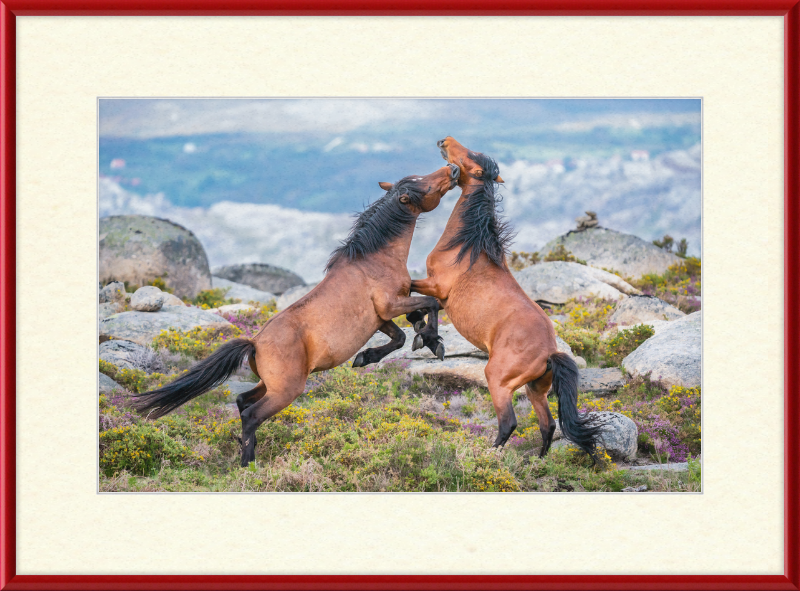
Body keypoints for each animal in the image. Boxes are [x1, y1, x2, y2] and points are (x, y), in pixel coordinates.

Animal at [134, 162, 460, 468]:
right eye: (424, 184)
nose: (453, 169)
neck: (375, 259)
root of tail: (255, 343)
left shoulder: (380, 318)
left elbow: (402, 334)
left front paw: (368, 356)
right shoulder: (390, 305)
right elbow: (431, 304)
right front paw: (433, 341)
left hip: (269, 385)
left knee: (241, 401)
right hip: (286, 391)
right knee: (251, 414)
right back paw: (248, 465)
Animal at [410, 138, 596, 458]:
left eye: (469, 157)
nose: (444, 141)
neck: (467, 247)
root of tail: (550, 353)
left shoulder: (435, 286)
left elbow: (414, 297)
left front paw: (427, 339)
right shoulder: (440, 295)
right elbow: (425, 308)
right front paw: (428, 340)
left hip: (498, 381)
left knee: (509, 422)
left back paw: (488, 455)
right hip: (535, 390)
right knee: (548, 425)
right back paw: (538, 461)